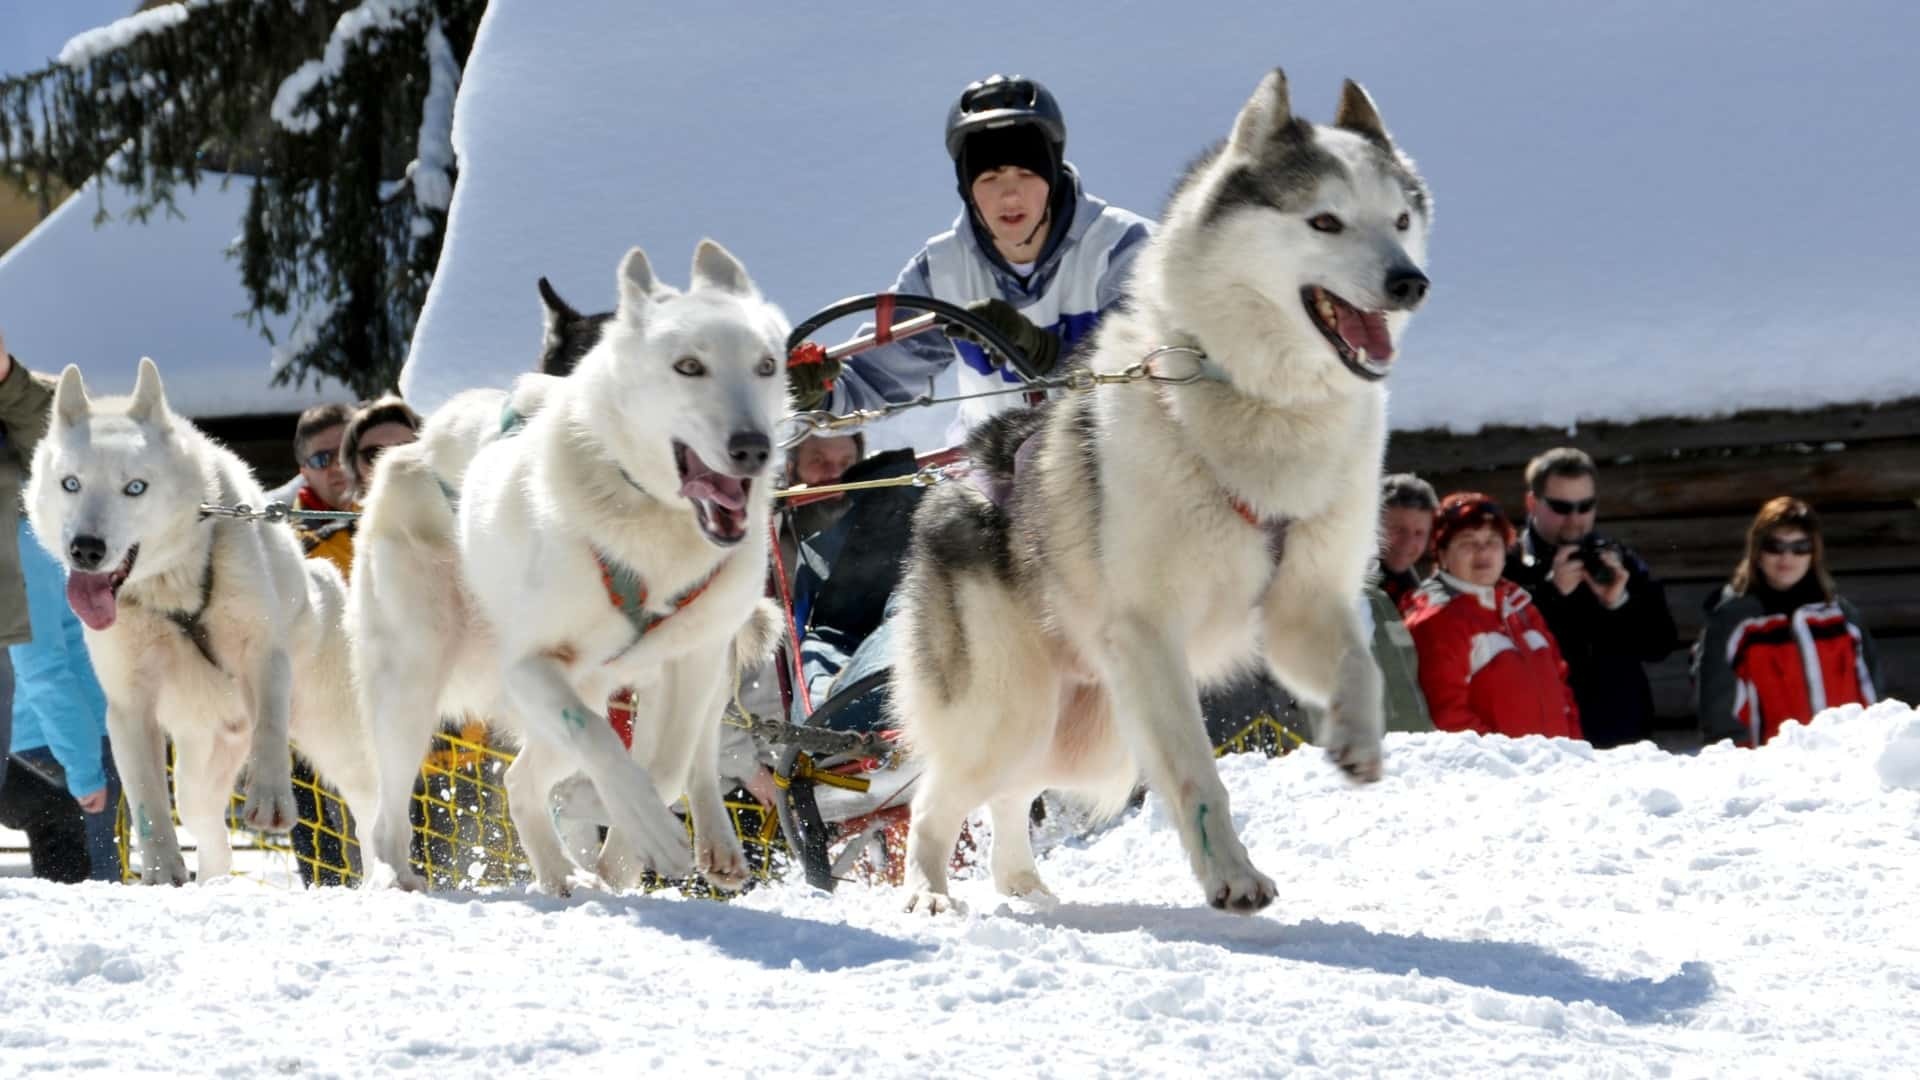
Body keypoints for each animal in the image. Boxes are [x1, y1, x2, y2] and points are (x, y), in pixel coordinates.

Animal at [27, 357, 374, 880]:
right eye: (71, 483)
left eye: (135, 487)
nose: (85, 549)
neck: (172, 591)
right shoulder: (129, 706)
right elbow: (147, 801)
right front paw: (160, 871)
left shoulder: (263, 656)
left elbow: (270, 729)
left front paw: (269, 795)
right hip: (198, 776)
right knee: (212, 838)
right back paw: (212, 880)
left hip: (339, 740)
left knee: (373, 811)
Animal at [349, 244, 783, 891]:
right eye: (688, 367)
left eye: (766, 366)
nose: (753, 446)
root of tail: (414, 448)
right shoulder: (530, 667)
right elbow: (602, 745)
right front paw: (647, 831)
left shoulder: (694, 660)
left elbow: (671, 764)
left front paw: (630, 847)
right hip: (414, 678)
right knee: (390, 819)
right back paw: (405, 879)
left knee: (528, 777)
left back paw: (580, 870)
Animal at [890, 69, 1436, 907]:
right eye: (1325, 220)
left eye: (1401, 219)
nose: (1410, 281)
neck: (1256, 401)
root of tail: (951, 482)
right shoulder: (1149, 639)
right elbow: (1195, 773)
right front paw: (1233, 877)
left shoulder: (1304, 605)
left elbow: (1359, 664)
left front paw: (1355, 738)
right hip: (1012, 711)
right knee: (939, 797)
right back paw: (927, 892)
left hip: (1081, 733)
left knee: (1010, 796)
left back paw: (1024, 884)